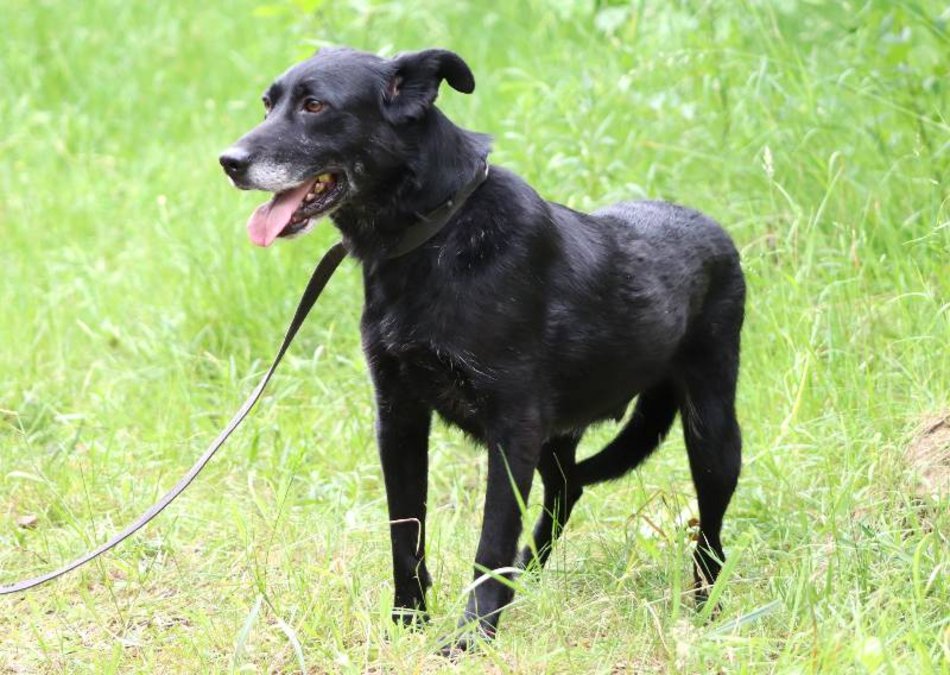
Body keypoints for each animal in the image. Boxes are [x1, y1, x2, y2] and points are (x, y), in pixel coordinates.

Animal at [221, 47, 744, 648]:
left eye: (314, 106)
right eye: (268, 104)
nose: (228, 161)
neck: (434, 234)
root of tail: (714, 229)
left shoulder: (511, 429)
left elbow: (490, 541)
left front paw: (471, 637)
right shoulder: (398, 417)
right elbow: (406, 531)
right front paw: (408, 621)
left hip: (712, 432)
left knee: (709, 533)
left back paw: (702, 611)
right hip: (558, 436)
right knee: (566, 491)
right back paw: (530, 577)